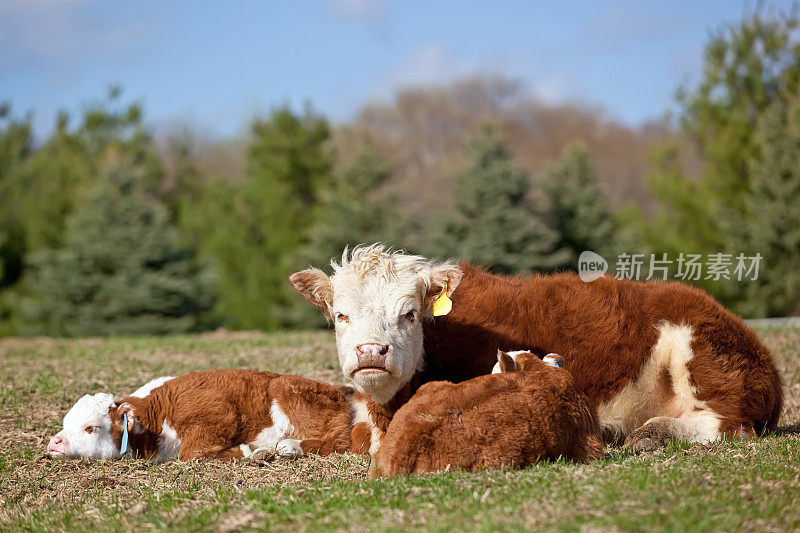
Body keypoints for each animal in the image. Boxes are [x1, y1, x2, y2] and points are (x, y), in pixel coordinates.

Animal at [48, 368, 374, 460]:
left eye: (91, 427)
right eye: (65, 423)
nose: (54, 442)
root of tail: (340, 392)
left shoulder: (219, 410)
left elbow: (192, 453)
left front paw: (250, 450)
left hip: (288, 391)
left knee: (338, 441)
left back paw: (286, 447)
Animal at [290, 244, 784, 448]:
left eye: (410, 313)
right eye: (341, 316)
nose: (371, 353)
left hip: (695, 346)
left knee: (730, 424)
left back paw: (649, 433)